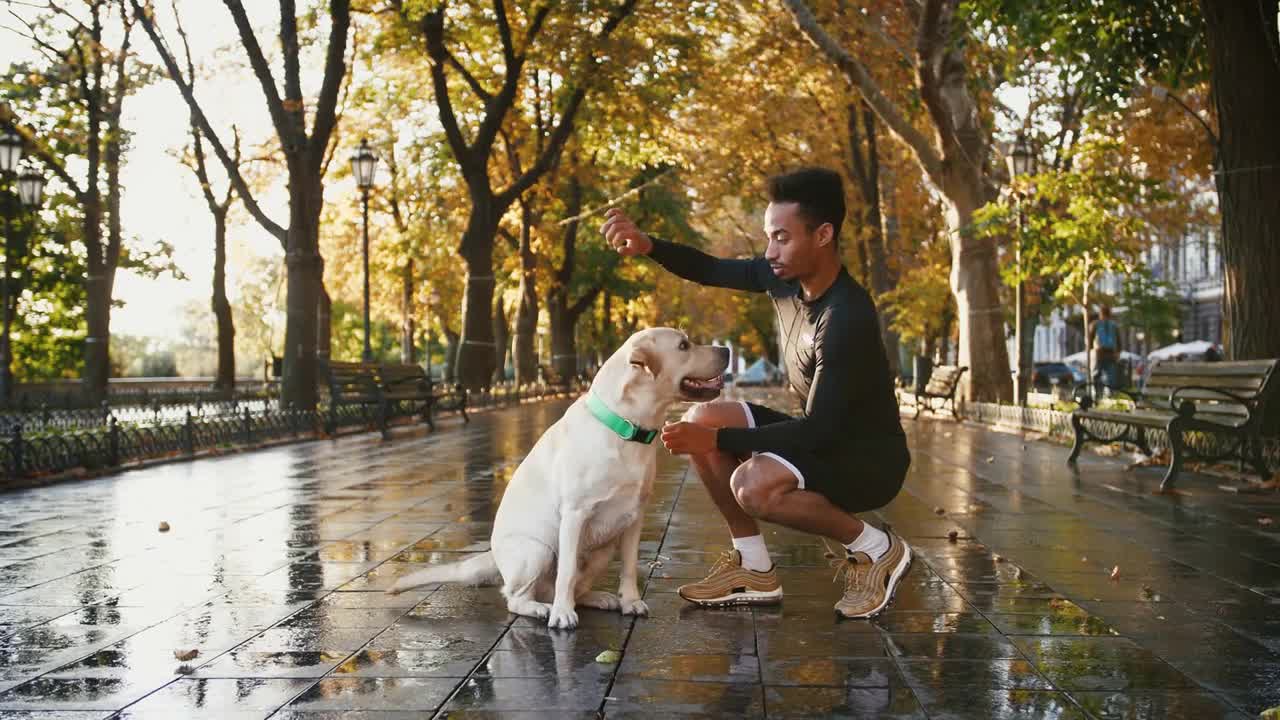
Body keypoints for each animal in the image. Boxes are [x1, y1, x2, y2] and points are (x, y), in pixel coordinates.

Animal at [384, 327, 732, 625]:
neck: (625, 427)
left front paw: (631, 601)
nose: (726, 349)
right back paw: (543, 609)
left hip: (603, 550)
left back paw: (598, 598)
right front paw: (562, 616)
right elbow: (566, 571)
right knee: (517, 597)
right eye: (684, 345)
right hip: (536, 550)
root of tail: (494, 557)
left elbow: (630, 567)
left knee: (573, 588)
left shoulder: (635, 517)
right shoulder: (574, 515)